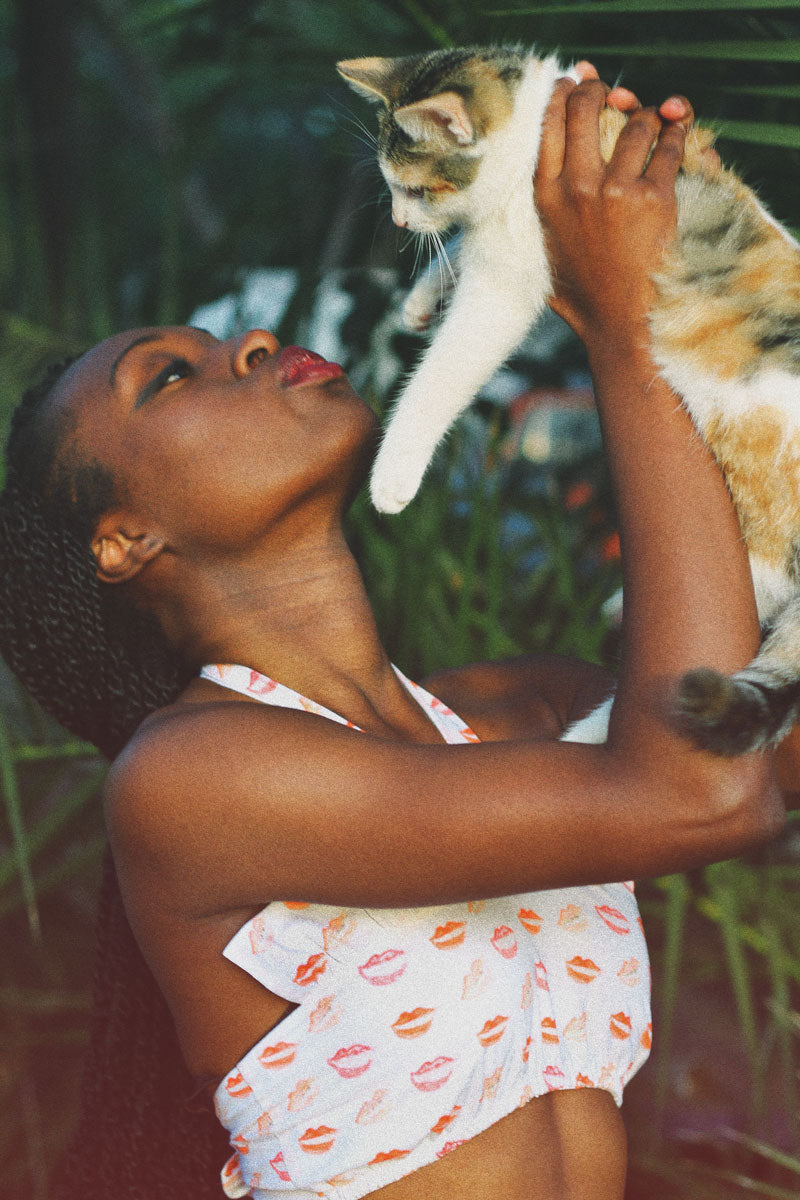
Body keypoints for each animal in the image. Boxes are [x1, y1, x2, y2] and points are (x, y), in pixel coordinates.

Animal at [338, 49, 800, 758]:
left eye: (415, 190)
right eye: (394, 189)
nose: (397, 222)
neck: (533, 121)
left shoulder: (510, 274)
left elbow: (446, 368)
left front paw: (392, 477)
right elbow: (460, 251)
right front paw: (420, 297)